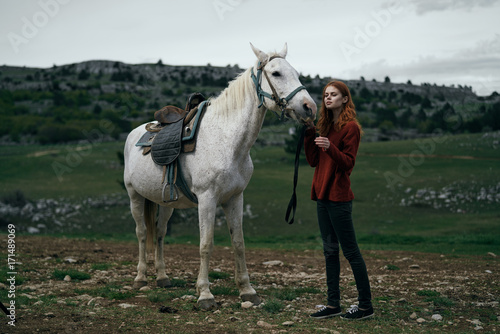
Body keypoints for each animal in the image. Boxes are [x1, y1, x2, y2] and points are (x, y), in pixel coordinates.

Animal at [123, 43, 316, 310]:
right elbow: (206, 244)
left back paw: (162, 277)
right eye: (276, 73)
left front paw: (247, 290)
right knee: (142, 233)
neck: (227, 140)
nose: (310, 108)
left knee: (159, 233)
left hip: (166, 203)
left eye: (296, 73)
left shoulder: (235, 198)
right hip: (135, 196)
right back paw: (140, 277)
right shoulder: (207, 199)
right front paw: (205, 294)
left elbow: (239, 243)